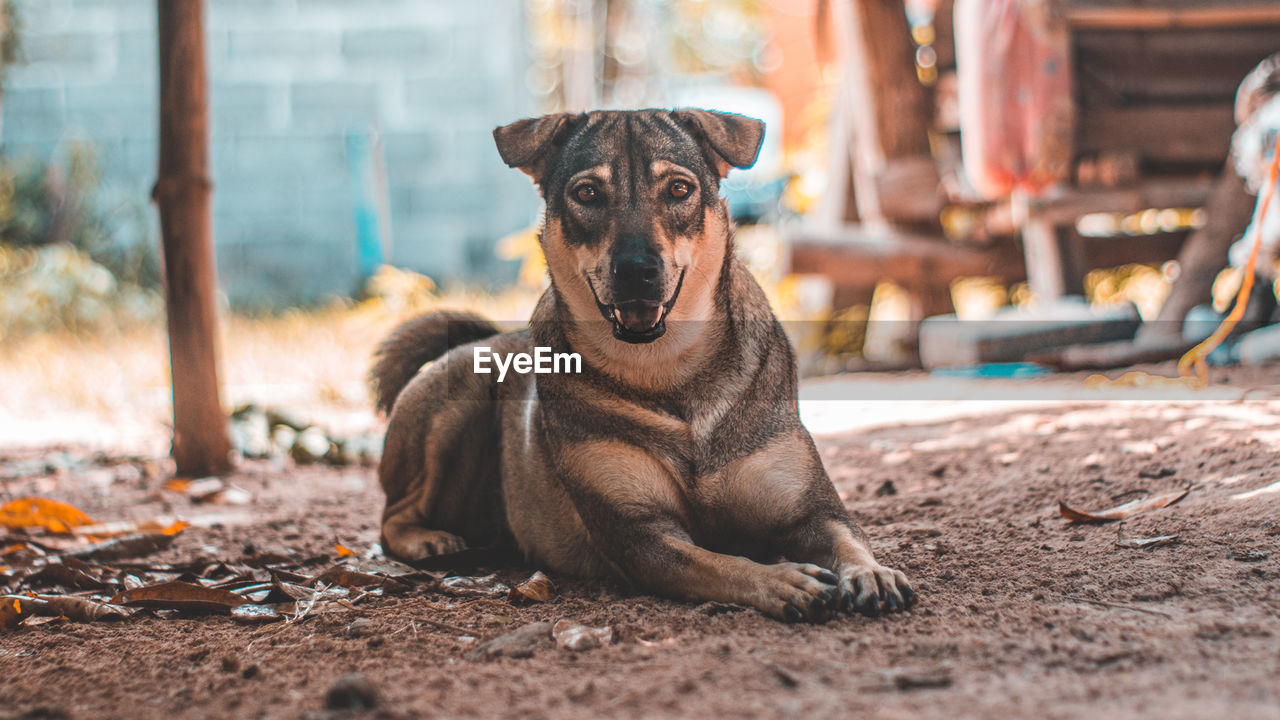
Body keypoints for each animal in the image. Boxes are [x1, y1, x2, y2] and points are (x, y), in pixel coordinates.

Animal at [366, 109, 916, 620]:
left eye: (679, 188)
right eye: (587, 193)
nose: (636, 269)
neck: (665, 366)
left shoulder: (808, 508)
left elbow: (846, 535)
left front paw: (872, 572)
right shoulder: (641, 535)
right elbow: (719, 563)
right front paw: (782, 581)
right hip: (457, 396)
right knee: (392, 516)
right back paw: (428, 540)